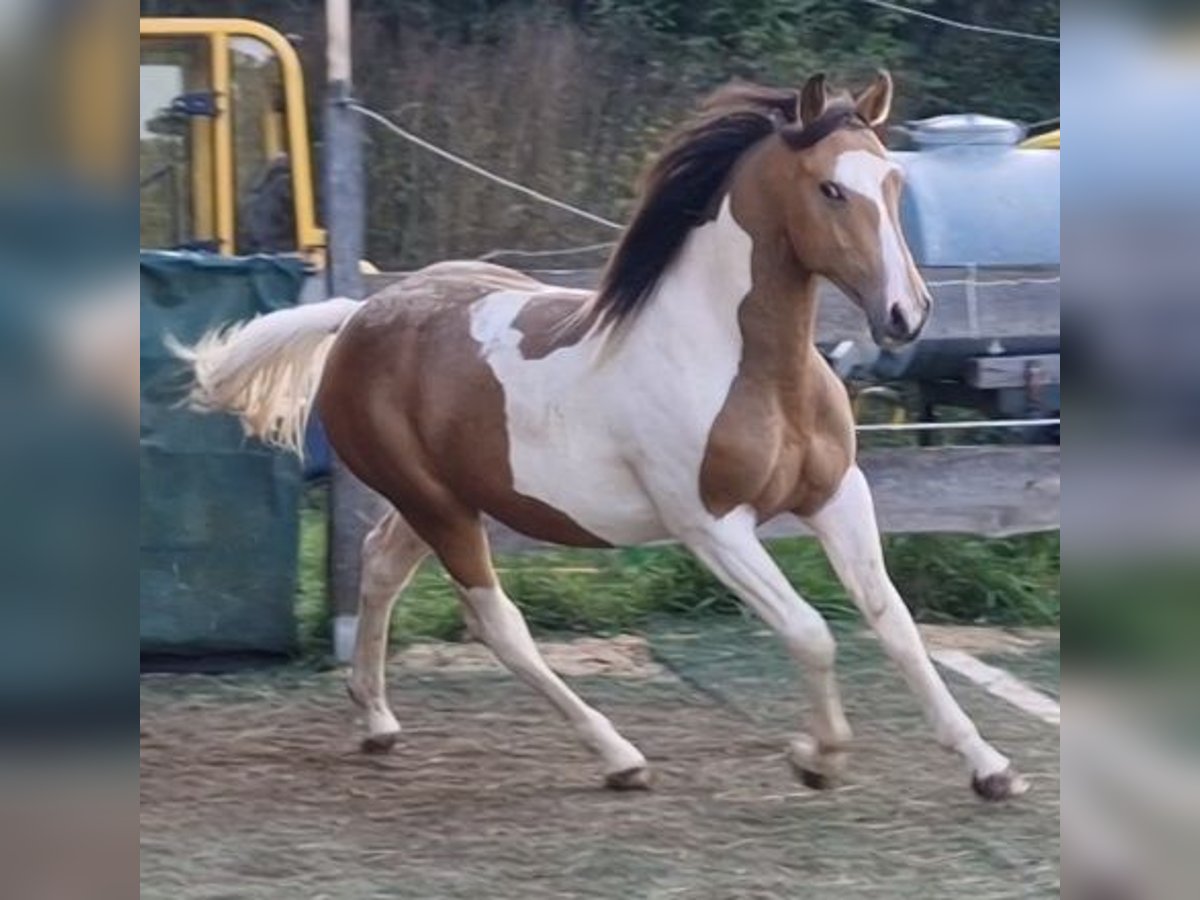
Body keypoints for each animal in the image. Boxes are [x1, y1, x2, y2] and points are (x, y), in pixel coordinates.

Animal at [174, 72, 1027, 801]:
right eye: (830, 188)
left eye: (893, 184)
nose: (906, 315)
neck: (743, 364)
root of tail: (358, 316)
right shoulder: (712, 526)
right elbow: (813, 632)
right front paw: (816, 758)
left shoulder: (836, 498)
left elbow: (896, 625)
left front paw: (989, 767)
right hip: (438, 507)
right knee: (497, 623)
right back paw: (618, 756)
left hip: (438, 501)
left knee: (382, 568)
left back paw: (379, 720)